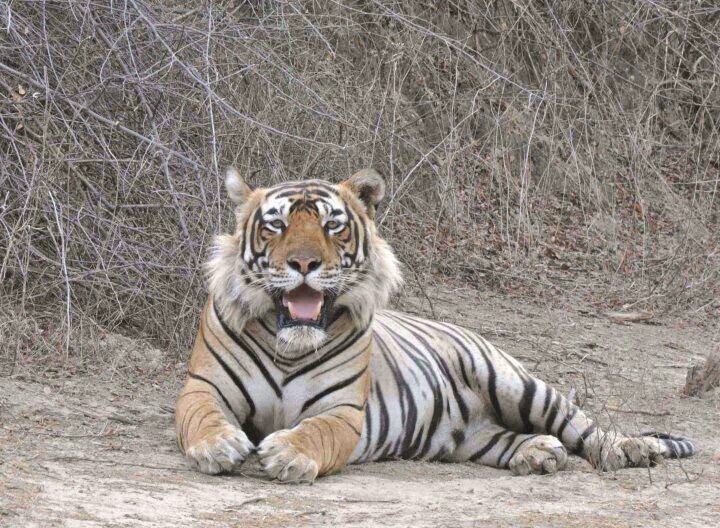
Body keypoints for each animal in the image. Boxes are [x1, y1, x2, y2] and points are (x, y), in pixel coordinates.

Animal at [175, 167, 695, 483]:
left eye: (332, 225)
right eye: (277, 225)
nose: (304, 263)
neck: (290, 345)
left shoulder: (342, 410)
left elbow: (314, 432)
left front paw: (286, 454)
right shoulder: (204, 386)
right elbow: (202, 417)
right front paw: (219, 446)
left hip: (518, 384)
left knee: (584, 426)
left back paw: (629, 449)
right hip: (472, 437)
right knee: (511, 439)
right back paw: (539, 453)